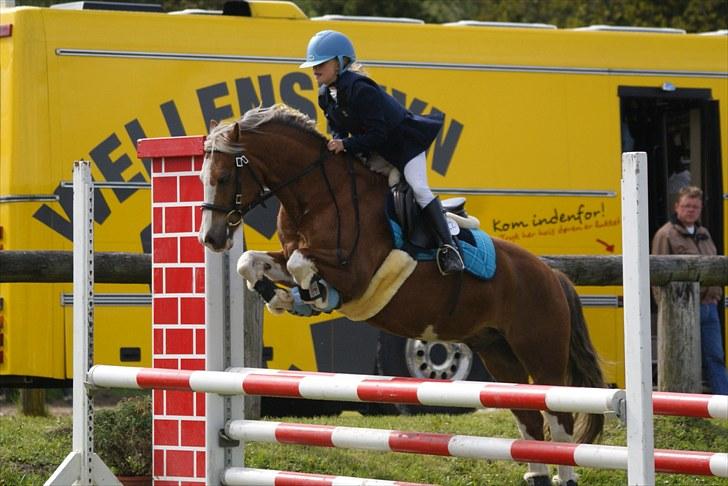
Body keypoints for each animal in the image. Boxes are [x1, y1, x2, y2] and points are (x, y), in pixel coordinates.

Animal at [198, 104, 604, 484]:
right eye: (202, 178)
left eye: (223, 177)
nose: (212, 238)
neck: (318, 195)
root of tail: (553, 275)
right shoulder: (288, 255)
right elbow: (250, 262)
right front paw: (283, 298)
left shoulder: (354, 271)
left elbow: (302, 265)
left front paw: (310, 296)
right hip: (498, 354)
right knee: (530, 419)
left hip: (541, 352)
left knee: (560, 419)